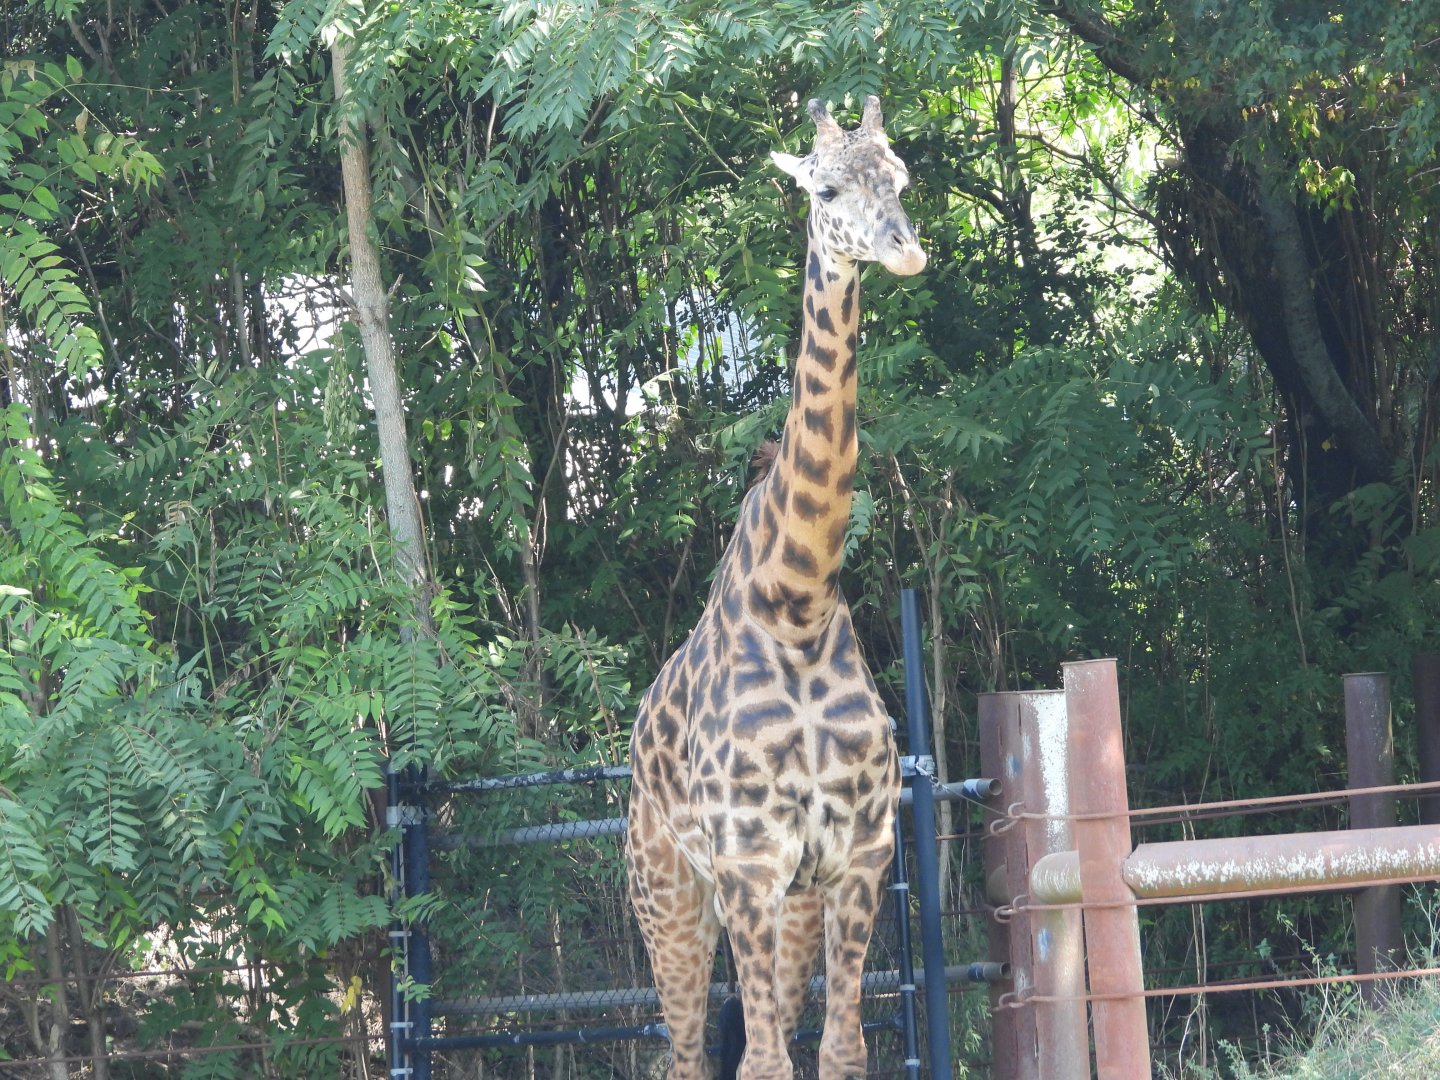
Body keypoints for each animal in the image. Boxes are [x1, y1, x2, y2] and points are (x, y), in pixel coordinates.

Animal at [625, 95, 926, 1080]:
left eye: (900, 177)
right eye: (825, 189)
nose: (905, 249)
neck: (796, 597)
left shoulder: (858, 853)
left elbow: (840, 1051)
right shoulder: (748, 861)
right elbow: (763, 1061)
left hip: (788, 900)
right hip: (669, 893)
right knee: (685, 1052)